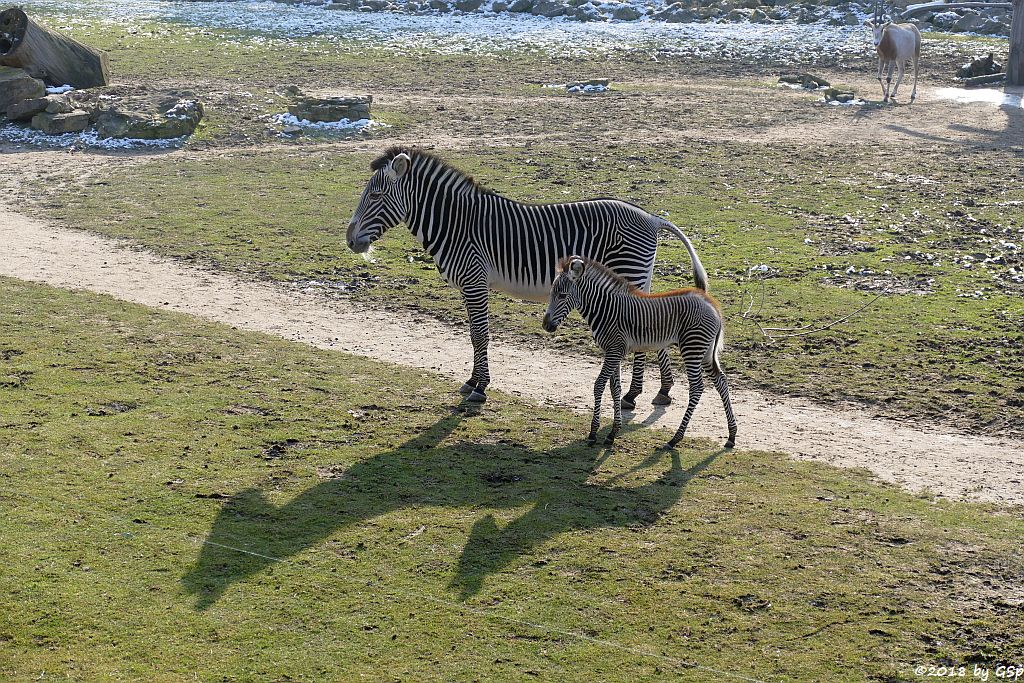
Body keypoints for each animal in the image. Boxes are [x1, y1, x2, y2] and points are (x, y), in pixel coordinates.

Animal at [348, 148, 708, 405]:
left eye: (375, 196)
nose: (350, 241)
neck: (456, 223)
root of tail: (652, 218)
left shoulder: (475, 280)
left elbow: (480, 334)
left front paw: (480, 387)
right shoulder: (469, 285)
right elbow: (473, 334)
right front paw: (472, 380)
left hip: (628, 270)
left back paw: (636, 394)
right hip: (636, 275)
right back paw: (659, 390)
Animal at [544, 253, 737, 450]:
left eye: (562, 295)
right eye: (552, 294)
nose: (546, 325)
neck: (605, 309)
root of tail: (711, 304)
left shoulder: (615, 350)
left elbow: (599, 385)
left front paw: (593, 433)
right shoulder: (613, 351)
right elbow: (615, 388)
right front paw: (613, 433)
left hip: (692, 347)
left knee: (697, 387)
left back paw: (675, 439)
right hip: (705, 352)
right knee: (721, 381)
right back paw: (731, 435)